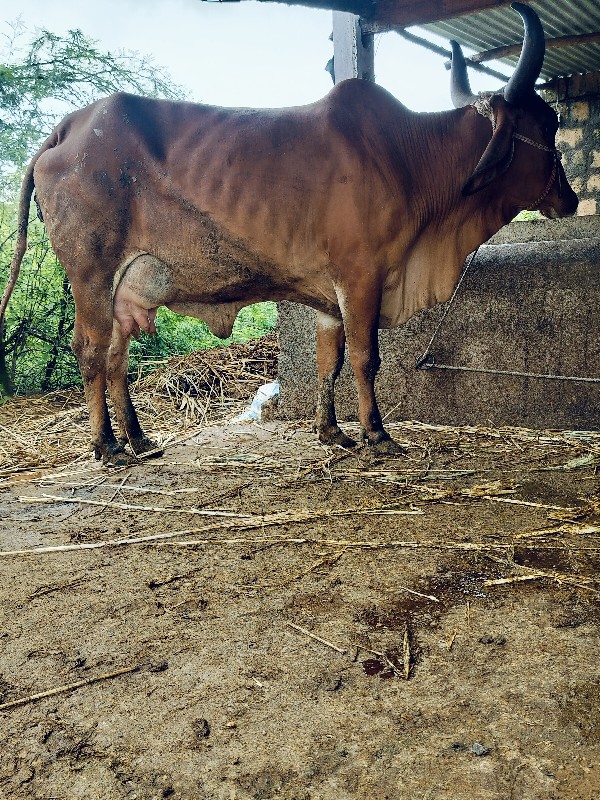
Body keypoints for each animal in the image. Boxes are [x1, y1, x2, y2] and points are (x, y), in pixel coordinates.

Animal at [1, 3, 580, 466]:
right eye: (548, 124)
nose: (571, 198)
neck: (411, 156)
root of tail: (70, 126)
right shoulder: (362, 276)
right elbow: (366, 357)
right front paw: (377, 434)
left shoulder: (330, 296)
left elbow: (332, 359)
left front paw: (332, 432)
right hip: (91, 277)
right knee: (90, 352)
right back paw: (107, 447)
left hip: (126, 289)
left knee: (116, 356)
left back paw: (139, 439)